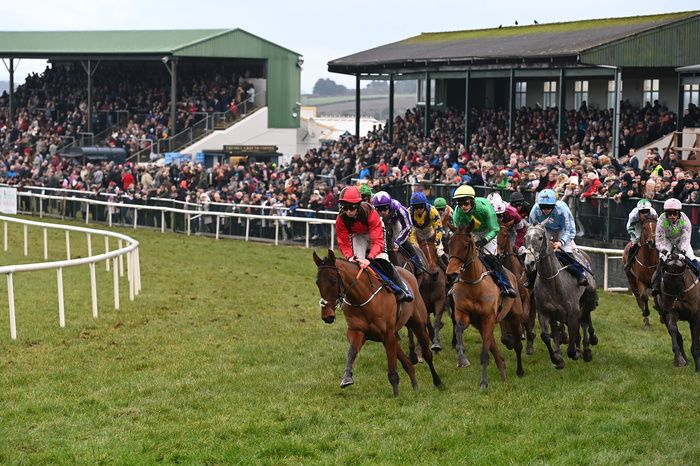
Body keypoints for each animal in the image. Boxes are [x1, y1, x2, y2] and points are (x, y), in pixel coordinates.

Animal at [314, 249, 442, 396]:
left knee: (427, 354)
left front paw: (396, 397)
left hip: (417, 323)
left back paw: (438, 382)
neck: (362, 298)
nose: (327, 316)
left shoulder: (388, 333)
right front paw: (346, 377)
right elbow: (351, 353)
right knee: (408, 363)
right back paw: (415, 386)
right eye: (317, 282)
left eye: (333, 280)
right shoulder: (358, 332)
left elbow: (392, 370)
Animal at [446, 222, 524, 390]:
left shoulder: (488, 317)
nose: (451, 274)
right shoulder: (464, 314)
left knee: (517, 345)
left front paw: (483, 383)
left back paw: (519, 370)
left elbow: (484, 354)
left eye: (466, 245)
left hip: (515, 316)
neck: (473, 283)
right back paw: (503, 373)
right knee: (494, 349)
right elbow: (458, 328)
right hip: (481, 325)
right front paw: (462, 359)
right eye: (449, 243)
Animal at [498, 224, 536, 354]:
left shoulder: (526, 298)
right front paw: (509, 340)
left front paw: (528, 337)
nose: (498, 254)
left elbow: (524, 320)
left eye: (505, 235)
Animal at [524, 224, 600, 370]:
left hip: (588, 298)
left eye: (540, 237)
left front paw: (576, 352)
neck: (552, 282)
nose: (529, 263)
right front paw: (557, 358)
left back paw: (588, 348)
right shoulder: (545, 312)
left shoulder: (572, 314)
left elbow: (571, 343)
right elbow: (546, 335)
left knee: (585, 319)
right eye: (525, 238)